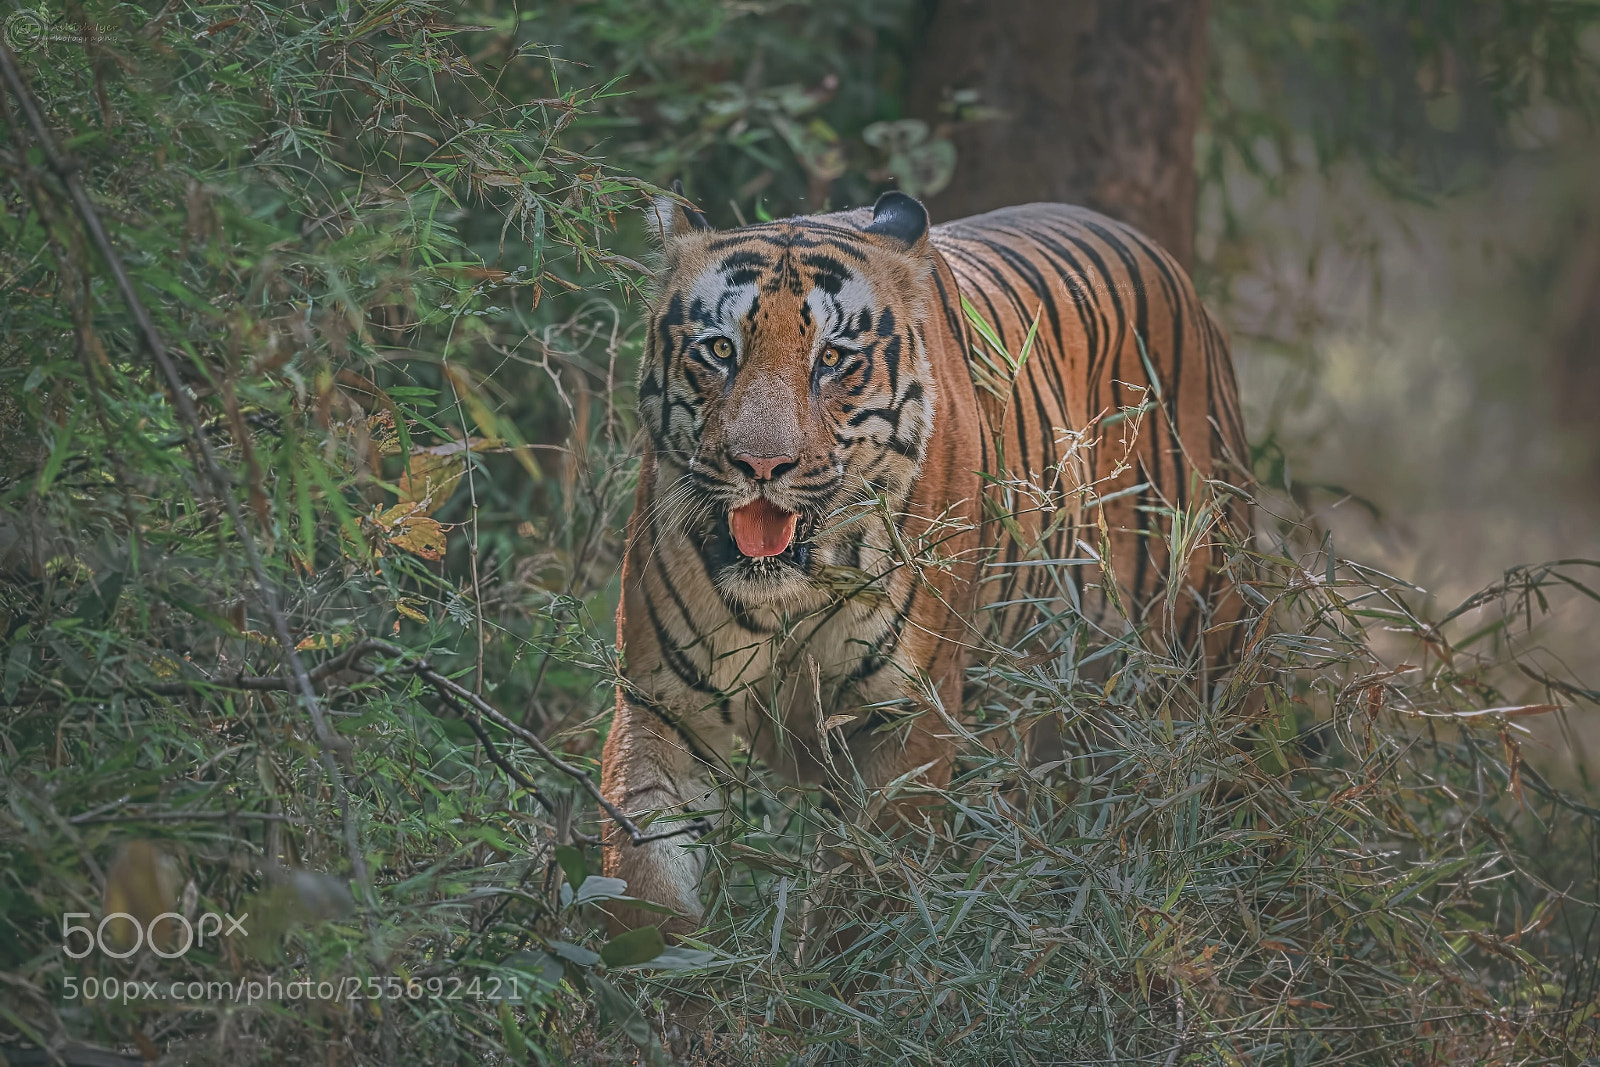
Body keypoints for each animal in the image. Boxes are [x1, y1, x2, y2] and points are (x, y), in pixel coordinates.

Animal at [599, 189, 1252, 932]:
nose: (760, 466)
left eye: (833, 358)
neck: (794, 590)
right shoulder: (665, 705)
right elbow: (646, 881)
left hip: (1201, 650)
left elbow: (869, 898)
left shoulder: (905, 719)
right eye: (718, 349)